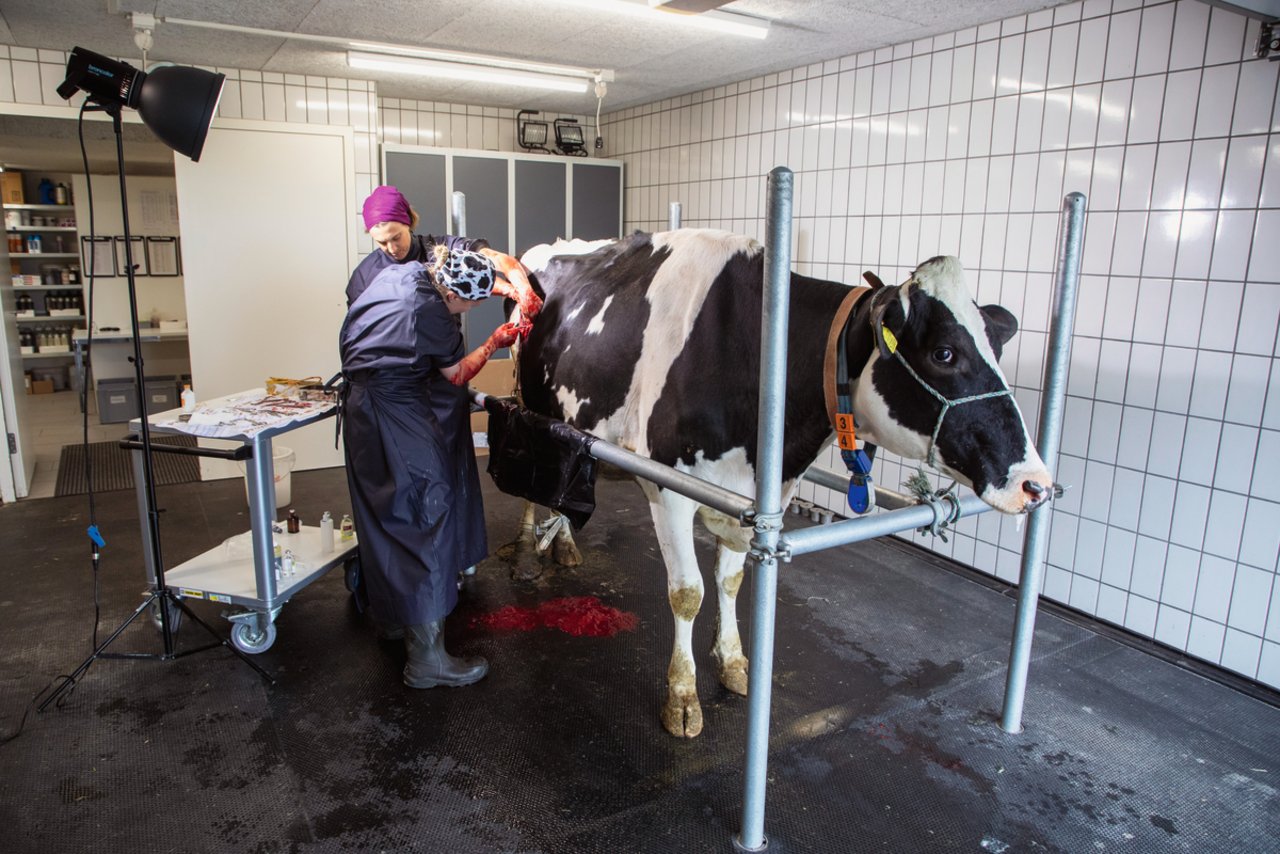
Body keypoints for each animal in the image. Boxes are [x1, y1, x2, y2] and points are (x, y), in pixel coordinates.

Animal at [509, 230, 1049, 737]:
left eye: (998, 348)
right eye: (944, 352)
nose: (1036, 484)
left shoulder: (753, 495)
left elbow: (729, 580)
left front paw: (732, 663)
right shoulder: (670, 489)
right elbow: (688, 593)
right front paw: (682, 697)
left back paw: (565, 544)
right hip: (530, 406)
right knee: (531, 483)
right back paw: (528, 548)